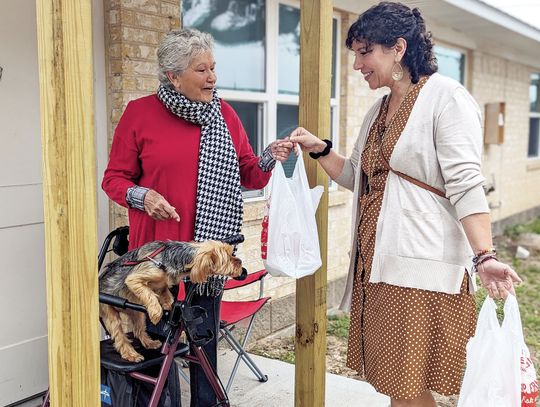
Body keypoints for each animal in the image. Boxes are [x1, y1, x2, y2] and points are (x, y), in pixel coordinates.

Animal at [98, 239, 242, 364]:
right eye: (228, 258)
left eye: (231, 253)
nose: (240, 261)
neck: (173, 257)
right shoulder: (135, 279)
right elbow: (149, 294)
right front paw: (157, 313)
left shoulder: (161, 284)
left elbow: (165, 293)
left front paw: (169, 306)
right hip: (110, 313)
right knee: (119, 336)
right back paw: (131, 354)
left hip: (137, 313)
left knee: (138, 330)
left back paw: (150, 343)